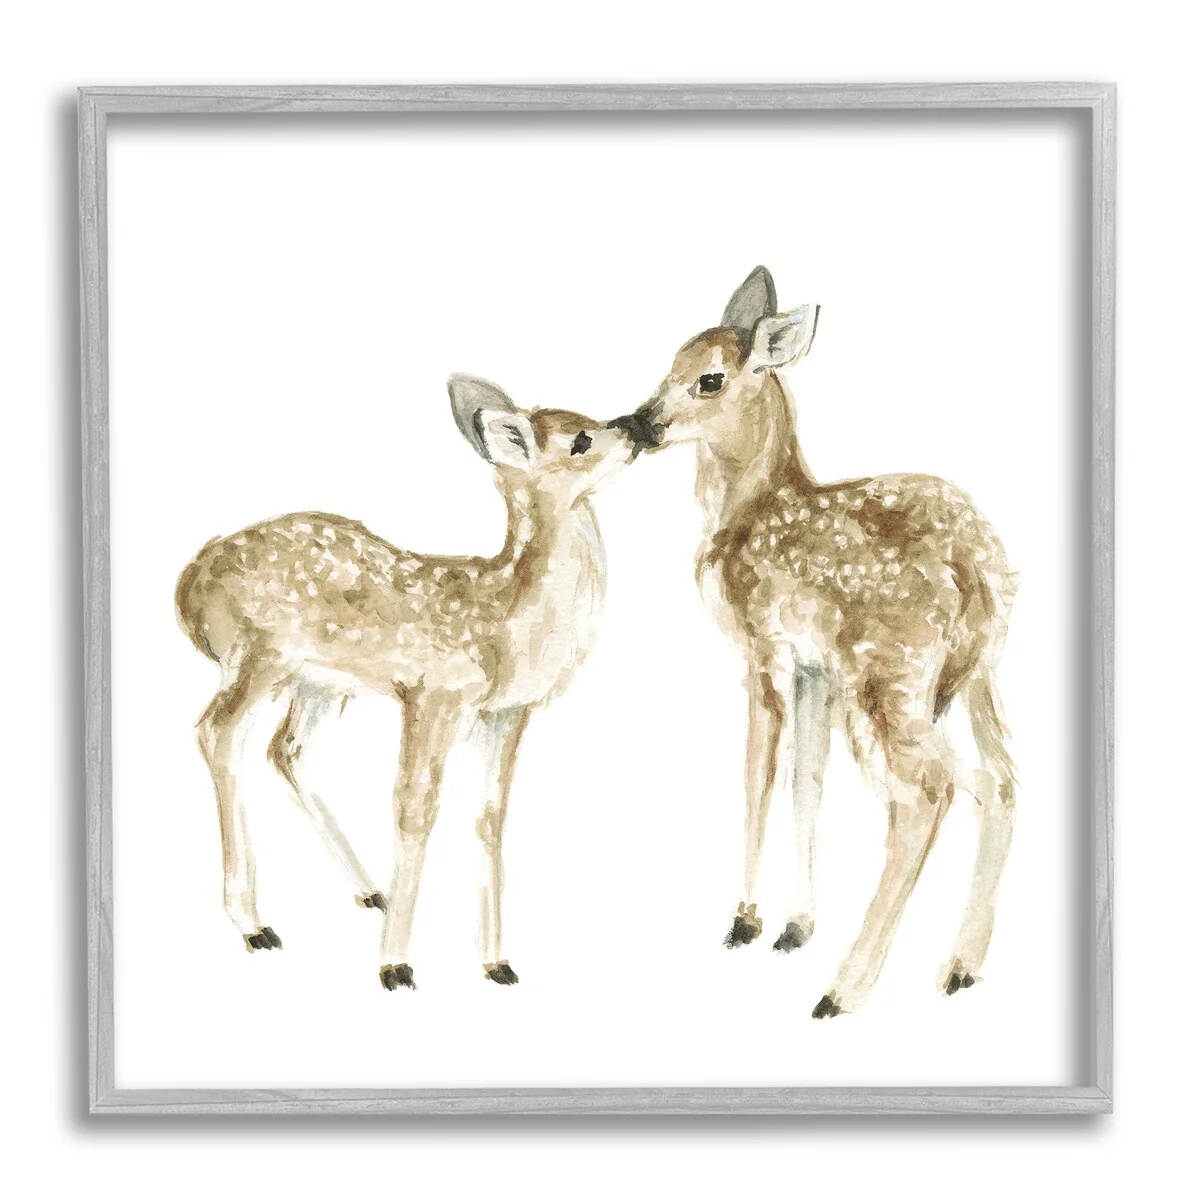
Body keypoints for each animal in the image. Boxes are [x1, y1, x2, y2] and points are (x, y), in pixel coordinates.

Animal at [175, 375, 649, 991]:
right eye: (581, 440)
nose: (639, 425)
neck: (505, 626)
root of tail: (190, 586)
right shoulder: (432, 691)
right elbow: (414, 807)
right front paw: (395, 965)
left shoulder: (506, 714)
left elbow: (490, 819)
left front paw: (497, 963)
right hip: (260, 653)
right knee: (218, 731)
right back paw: (255, 924)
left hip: (320, 683)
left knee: (286, 750)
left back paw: (368, 891)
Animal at [617, 267, 1017, 1016]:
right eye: (670, 361)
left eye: (709, 379)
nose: (637, 423)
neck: (743, 512)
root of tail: (979, 569)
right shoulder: (815, 671)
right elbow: (808, 778)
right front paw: (794, 927)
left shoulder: (763, 648)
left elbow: (759, 774)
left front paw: (745, 920)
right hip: (975, 674)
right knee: (997, 780)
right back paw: (958, 969)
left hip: (887, 674)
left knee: (928, 793)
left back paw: (844, 990)